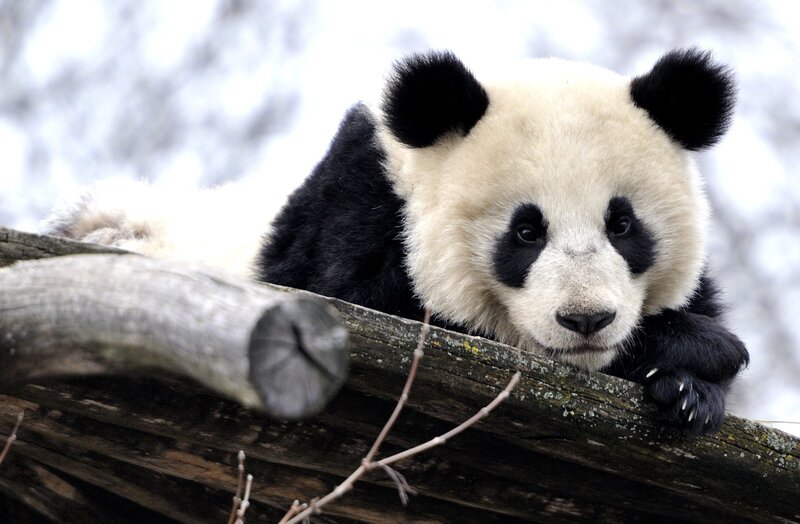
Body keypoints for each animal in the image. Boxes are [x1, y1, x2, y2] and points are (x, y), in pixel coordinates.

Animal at [48, 48, 749, 436]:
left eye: (622, 225)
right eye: (526, 231)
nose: (586, 320)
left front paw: (689, 391)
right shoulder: (355, 216)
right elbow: (376, 306)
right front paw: (696, 349)